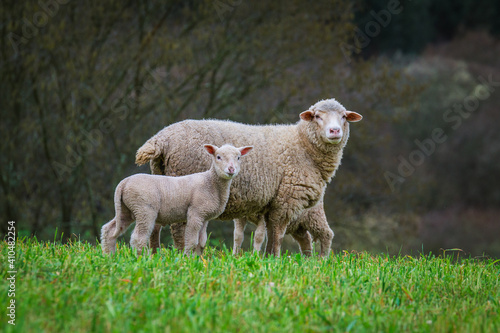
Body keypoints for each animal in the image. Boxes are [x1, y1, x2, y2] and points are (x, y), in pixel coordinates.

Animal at [100, 143, 254, 254]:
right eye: (218, 157)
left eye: (238, 157)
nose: (231, 169)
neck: (211, 183)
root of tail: (124, 183)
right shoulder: (195, 213)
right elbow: (191, 241)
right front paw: (187, 260)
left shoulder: (205, 217)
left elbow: (202, 242)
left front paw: (199, 261)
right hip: (144, 209)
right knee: (139, 238)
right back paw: (141, 259)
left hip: (126, 209)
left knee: (109, 230)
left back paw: (109, 256)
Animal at [137, 97, 364, 255]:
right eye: (317, 116)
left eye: (344, 116)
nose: (334, 131)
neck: (302, 145)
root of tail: (161, 138)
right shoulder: (286, 200)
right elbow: (277, 236)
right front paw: (274, 259)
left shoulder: (272, 204)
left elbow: (269, 235)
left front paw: (266, 259)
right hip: (182, 183)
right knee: (177, 229)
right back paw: (181, 255)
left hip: (164, 184)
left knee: (156, 225)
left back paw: (155, 255)